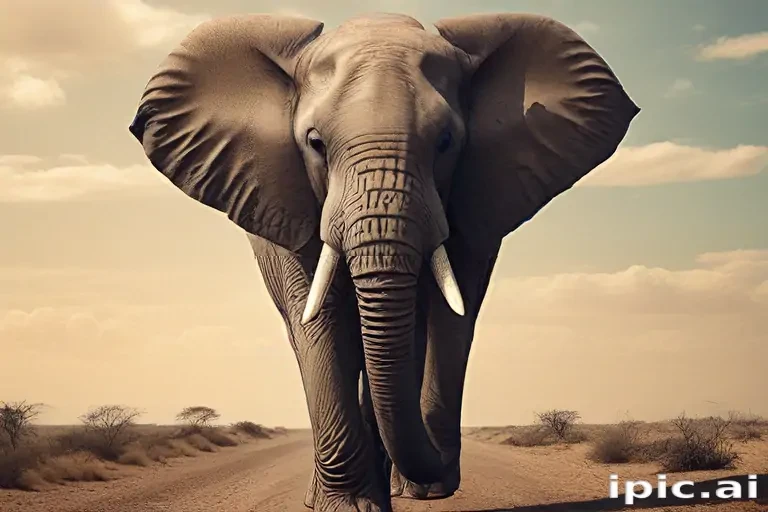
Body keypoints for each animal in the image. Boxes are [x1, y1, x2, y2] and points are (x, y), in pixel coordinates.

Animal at [128, 11, 639, 512]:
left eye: (447, 141)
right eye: (315, 142)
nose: (444, 470)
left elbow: (450, 316)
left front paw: (414, 487)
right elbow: (323, 322)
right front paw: (350, 505)